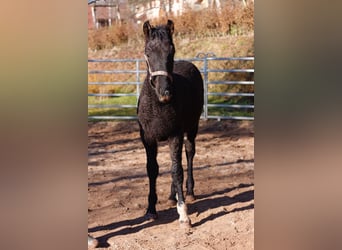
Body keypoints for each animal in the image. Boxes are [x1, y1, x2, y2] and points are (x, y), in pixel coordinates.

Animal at [138, 19, 204, 227]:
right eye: (148, 52)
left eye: (172, 51)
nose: (165, 93)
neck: (158, 106)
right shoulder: (148, 139)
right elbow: (152, 169)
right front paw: (151, 210)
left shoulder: (175, 135)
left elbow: (177, 170)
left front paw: (183, 214)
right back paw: (171, 196)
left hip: (192, 127)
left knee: (189, 154)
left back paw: (189, 193)